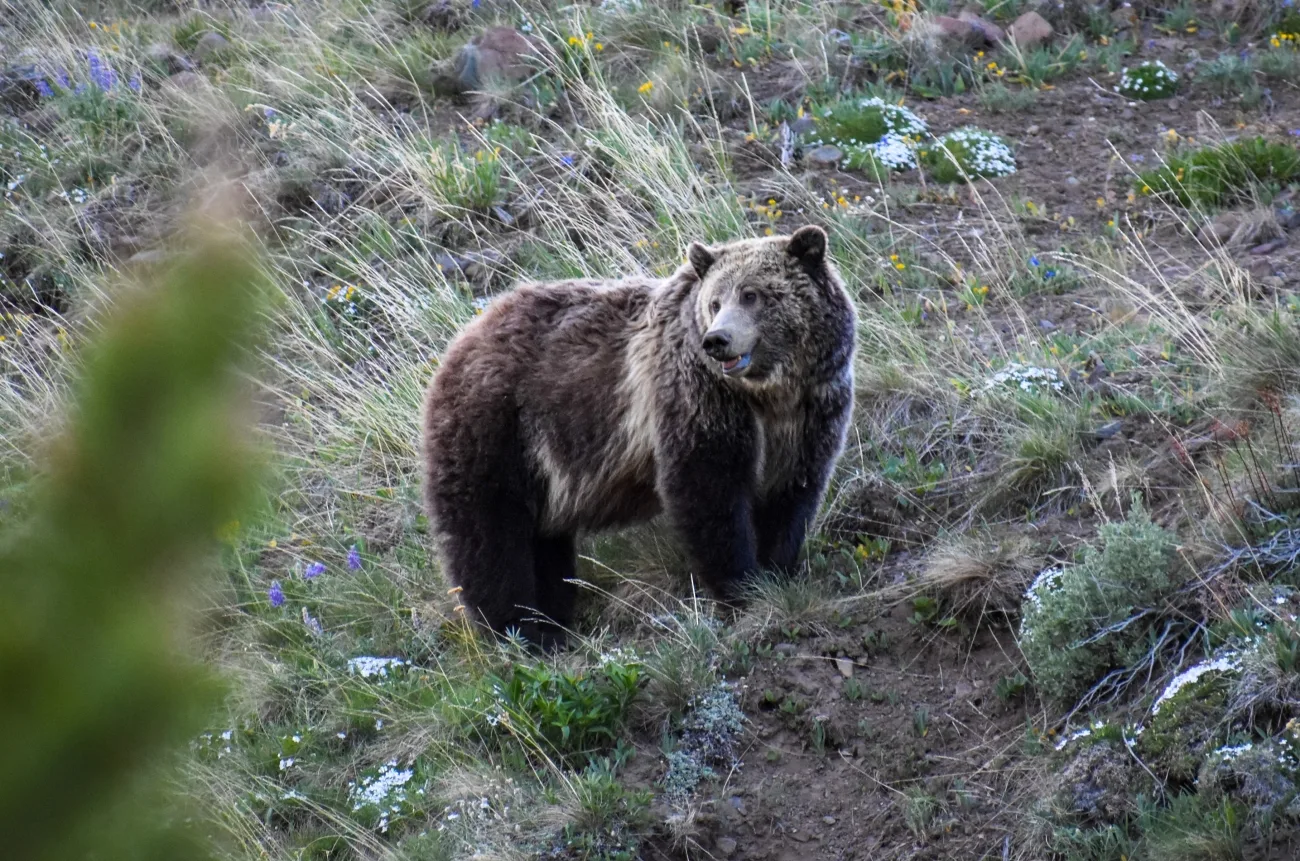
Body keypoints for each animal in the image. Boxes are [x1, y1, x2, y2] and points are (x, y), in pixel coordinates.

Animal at [421, 227, 857, 647]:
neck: (770, 393)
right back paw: (523, 629)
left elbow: (793, 497)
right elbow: (709, 491)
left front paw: (778, 573)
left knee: (542, 540)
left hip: (542, 467)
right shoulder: (699, 397)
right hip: (497, 428)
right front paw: (742, 588)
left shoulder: (813, 413)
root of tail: (463, 337)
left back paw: (553, 615)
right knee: (489, 533)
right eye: (716, 302)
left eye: (753, 294)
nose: (717, 340)